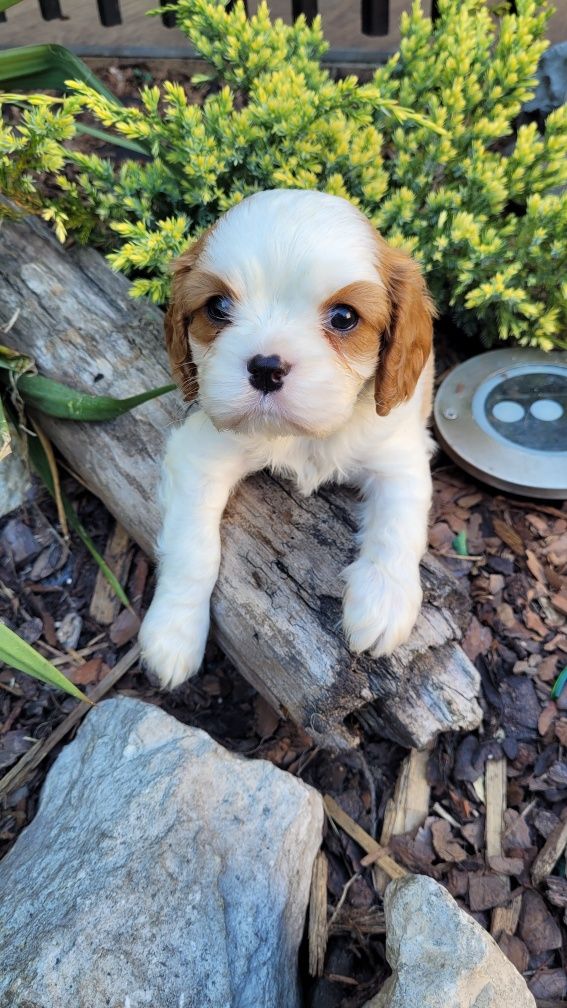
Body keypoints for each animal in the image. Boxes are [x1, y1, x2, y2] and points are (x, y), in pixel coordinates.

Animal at [140, 187, 431, 693]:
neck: (303, 436)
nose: (266, 367)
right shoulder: (200, 455)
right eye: (218, 308)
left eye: (344, 317)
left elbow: (399, 525)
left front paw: (382, 603)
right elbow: (192, 549)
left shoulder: (399, 455)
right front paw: (173, 633)